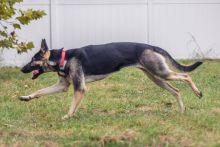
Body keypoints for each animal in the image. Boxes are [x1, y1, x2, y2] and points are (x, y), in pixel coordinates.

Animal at [19, 39, 202, 119]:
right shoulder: (62, 86)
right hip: (156, 77)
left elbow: (72, 106)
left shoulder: (80, 88)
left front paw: (68, 116)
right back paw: (182, 110)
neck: (63, 58)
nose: (22, 69)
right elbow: (39, 91)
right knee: (176, 90)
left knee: (186, 75)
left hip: (161, 73)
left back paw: (198, 92)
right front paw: (26, 97)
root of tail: (151, 46)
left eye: (32, 60)